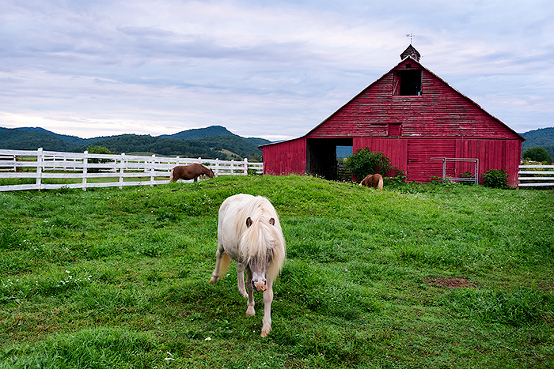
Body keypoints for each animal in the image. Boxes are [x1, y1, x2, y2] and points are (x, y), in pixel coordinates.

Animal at [208, 193, 284, 336]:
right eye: (250, 249)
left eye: (269, 250)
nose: (259, 285)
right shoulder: (249, 265)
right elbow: (250, 285)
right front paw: (250, 310)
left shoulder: (269, 269)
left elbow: (268, 295)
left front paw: (266, 327)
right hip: (222, 243)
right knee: (219, 255)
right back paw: (214, 278)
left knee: (239, 268)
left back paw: (242, 291)